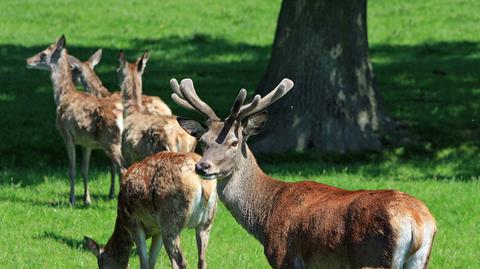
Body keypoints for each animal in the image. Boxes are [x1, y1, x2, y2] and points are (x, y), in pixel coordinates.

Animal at [26, 35, 124, 203]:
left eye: (44, 54)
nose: (27, 60)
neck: (63, 97)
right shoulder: (87, 142)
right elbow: (85, 169)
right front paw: (87, 200)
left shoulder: (67, 136)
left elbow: (71, 170)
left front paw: (71, 199)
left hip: (110, 139)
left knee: (123, 168)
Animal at [85, 151, 218, 268]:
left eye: (101, 264)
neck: (122, 221)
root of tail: (202, 183)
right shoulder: (157, 230)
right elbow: (151, 262)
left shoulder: (133, 222)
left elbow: (144, 263)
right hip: (207, 221)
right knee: (202, 260)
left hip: (170, 221)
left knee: (179, 262)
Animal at [171, 78, 436, 268]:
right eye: (203, 141)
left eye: (234, 142)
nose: (202, 166)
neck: (264, 216)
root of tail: (418, 223)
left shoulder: (284, 257)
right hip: (418, 261)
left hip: (374, 258)